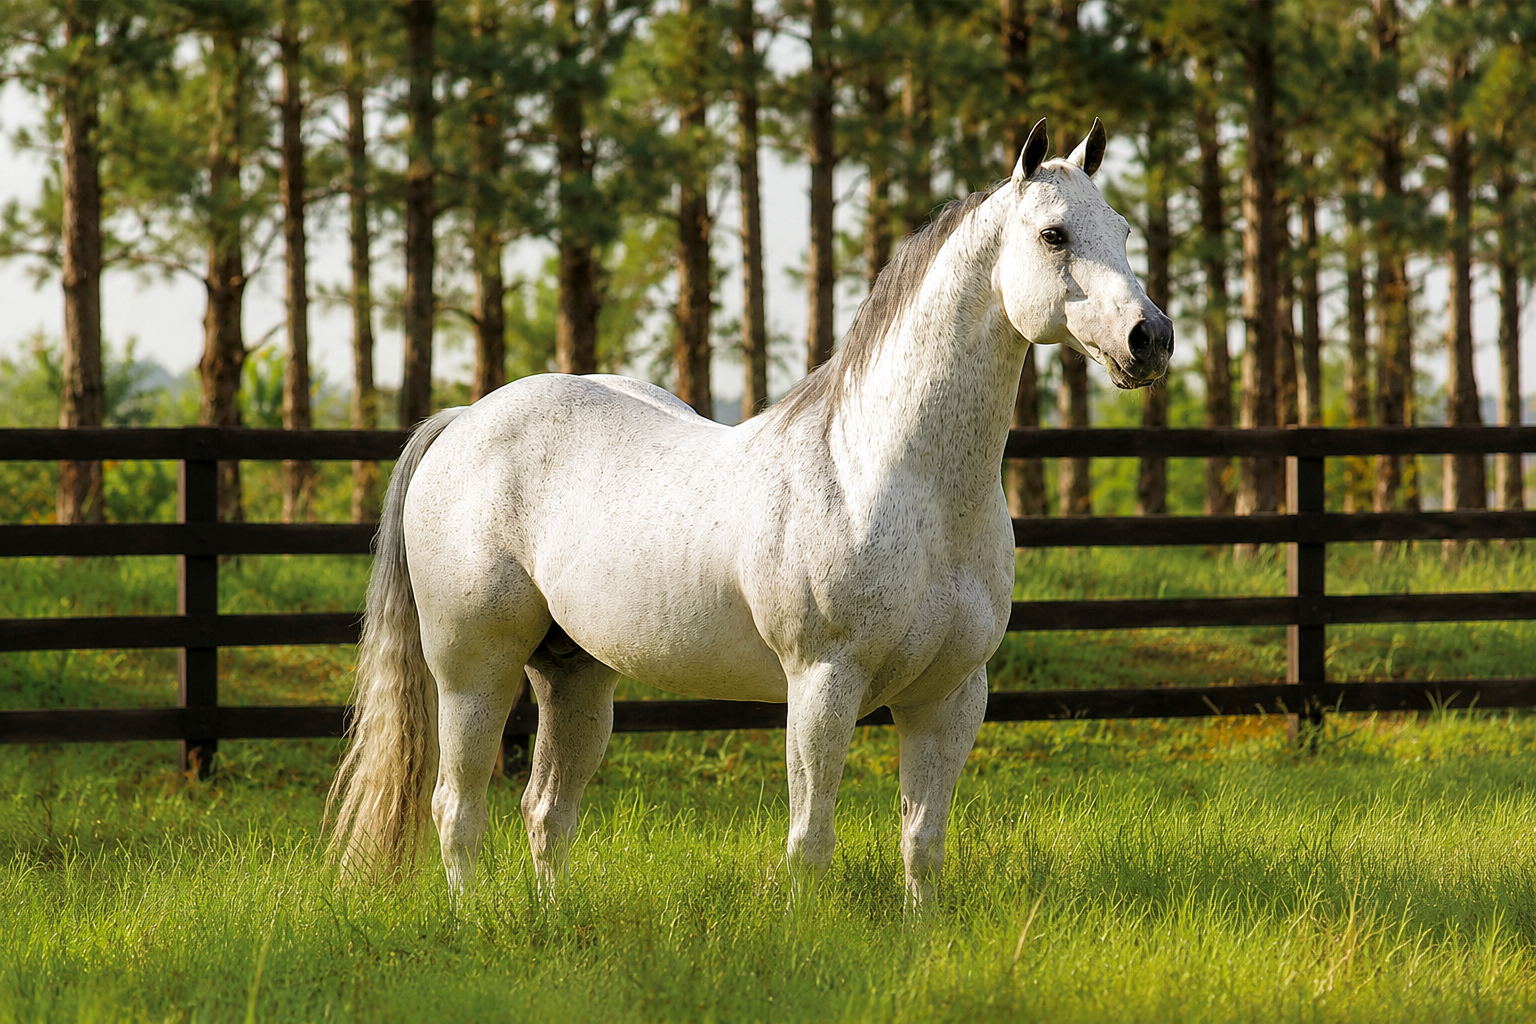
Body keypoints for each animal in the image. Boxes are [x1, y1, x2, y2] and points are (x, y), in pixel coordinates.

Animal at [329, 118, 1173, 906]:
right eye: (1054, 233)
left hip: (575, 677)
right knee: (458, 809)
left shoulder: (951, 697)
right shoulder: (824, 686)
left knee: (546, 813)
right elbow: (811, 841)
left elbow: (923, 843)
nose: (1152, 338)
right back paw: (473, 917)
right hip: (474, 672)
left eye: (1124, 231)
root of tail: (464, 419)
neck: (891, 480)